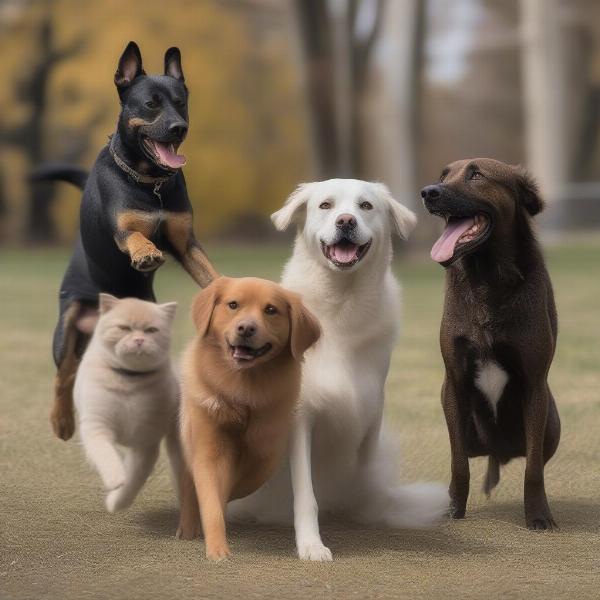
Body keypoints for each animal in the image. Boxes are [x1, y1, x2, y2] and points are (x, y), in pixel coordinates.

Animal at [33, 39, 218, 438]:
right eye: (151, 103)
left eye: (181, 101)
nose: (178, 127)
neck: (150, 183)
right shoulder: (123, 229)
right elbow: (134, 236)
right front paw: (146, 253)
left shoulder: (185, 242)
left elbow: (209, 273)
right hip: (67, 326)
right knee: (64, 374)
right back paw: (62, 420)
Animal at [73, 292, 180, 512]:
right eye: (124, 328)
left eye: (151, 330)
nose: (139, 339)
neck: (129, 382)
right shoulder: (96, 426)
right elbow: (106, 455)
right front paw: (115, 479)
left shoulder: (146, 442)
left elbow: (134, 479)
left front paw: (117, 502)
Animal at [227, 180, 448, 560]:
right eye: (326, 206)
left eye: (365, 206)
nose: (346, 221)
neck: (341, 305)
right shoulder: (299, 416)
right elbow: (306, 493)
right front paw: (311, 545)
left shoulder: (372, 406)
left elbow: (366, 472)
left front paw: (370, 512)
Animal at [420, 157, 560, 528]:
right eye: (443, 175)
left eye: (477, 174)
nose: (428, 192)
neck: (487, 275)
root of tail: (500, 452)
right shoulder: (453, 384)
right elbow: (458, 465)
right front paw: (453, 510)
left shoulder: (534, 385)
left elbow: (533, 470)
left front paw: (538, 516)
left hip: (552, 425)